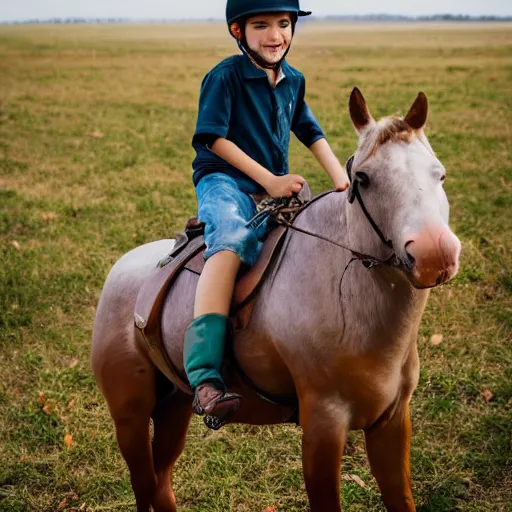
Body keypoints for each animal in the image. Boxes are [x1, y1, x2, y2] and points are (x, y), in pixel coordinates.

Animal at [91, 89, 460, 512]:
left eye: (440, 174)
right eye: (363, 179)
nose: (435, 255)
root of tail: (123, 267)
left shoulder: (393, 421)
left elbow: (401, 497)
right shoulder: (322, 423)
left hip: (175, 404)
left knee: (160, 481)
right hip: (130, 413)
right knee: (143, 482)